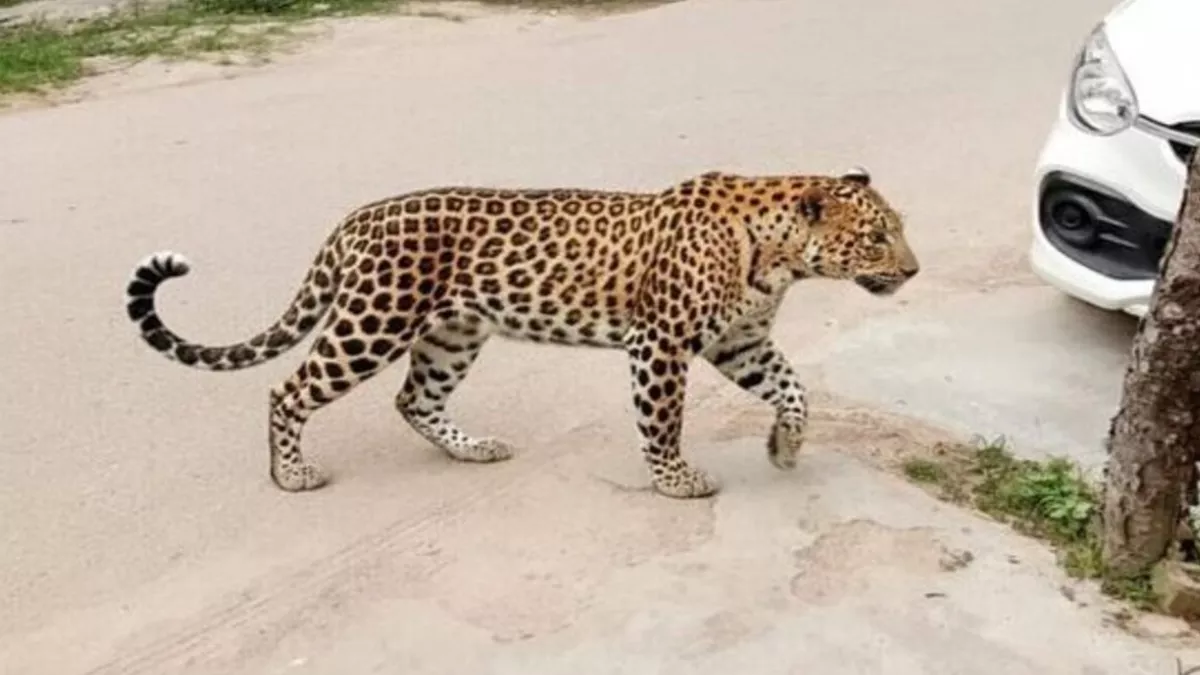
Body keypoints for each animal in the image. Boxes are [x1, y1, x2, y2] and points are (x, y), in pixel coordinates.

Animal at [124, 166, 919, 499]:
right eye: (878, 236)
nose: (913, 270)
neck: (780, 256)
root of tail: (355, 218)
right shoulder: (661, 343)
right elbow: (663, 420)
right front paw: (676, 481)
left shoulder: (740, 342)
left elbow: (795, 389)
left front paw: (784, 449)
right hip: (372, 323)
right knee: (287, 391)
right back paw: (290, 474)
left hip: (453, 333)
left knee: (414, 400)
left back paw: (473, 448)